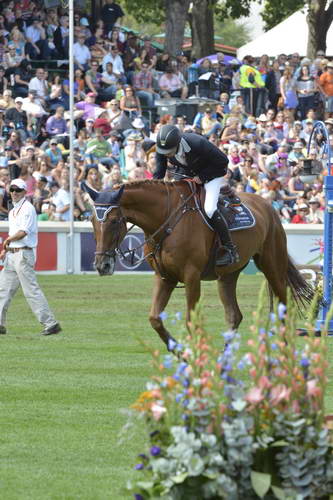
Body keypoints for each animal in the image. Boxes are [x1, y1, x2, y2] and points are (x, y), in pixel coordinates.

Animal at [89, 180, 312, 348]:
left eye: (114, 221)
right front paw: (179, 351)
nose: (102, 265)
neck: (167, 220)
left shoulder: (191, 276)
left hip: (272, 266)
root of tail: (268, 206)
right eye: (91, 220)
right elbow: (155, 319)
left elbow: (191, 321)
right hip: (228, 276)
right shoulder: (165, 277)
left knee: (285, 308)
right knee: (234, 315)